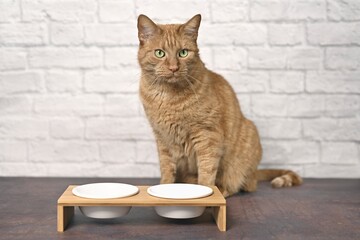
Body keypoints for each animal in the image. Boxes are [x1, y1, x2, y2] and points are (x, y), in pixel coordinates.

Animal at [136, 14, 302, 197]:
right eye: (160, 53)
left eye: (183, 53)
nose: (173, 68)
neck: (169, 97)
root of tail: (255, 172)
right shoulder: (162, 138)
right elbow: (166, 169)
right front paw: (163, 188)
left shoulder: (207, 135)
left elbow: (207, 170)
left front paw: (205, 192)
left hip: (246, 141)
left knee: (238, 184)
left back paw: (220, 189)